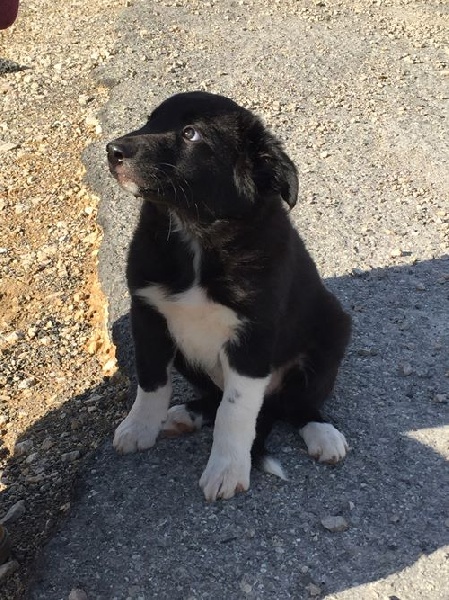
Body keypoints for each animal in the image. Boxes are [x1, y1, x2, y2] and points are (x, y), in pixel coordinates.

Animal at [106, 91, 351, 501]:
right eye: (151, 120)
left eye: (190, 134)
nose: (112, 151)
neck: (194, 233)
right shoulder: (148, 314)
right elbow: (152, 378)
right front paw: (139, 428)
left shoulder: (253, 336)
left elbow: (235, 413)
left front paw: (226, 471)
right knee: (218, 397)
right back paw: (186, 414)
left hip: (332, 332)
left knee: (297, 404)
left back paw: (322, 433)